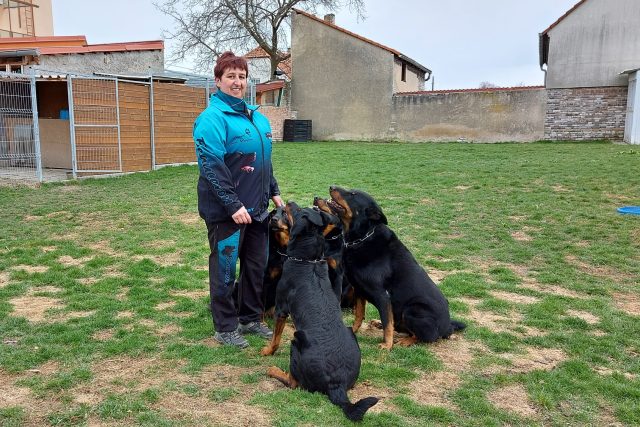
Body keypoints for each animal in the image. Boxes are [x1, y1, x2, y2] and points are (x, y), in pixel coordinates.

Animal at [262, 203, 378, 422]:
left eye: (297, 212)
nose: (289, 202)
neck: (307, 259)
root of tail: (337, 385)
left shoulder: (281, 308)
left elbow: (275, 337)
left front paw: (267, 351)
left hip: (297, 341)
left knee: (294, 383)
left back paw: (273, 370)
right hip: (350, 333)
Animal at [324, 187, 464, 352]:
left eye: (353, 194)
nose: (332, 186)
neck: (362, 238)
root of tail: (448, 327)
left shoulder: (382, 295)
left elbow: (387, 323)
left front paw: (387, 345)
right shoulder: (358, 289)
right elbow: (359, 314)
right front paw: (353, 331)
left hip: (412, 310)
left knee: (424, 336)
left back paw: (405, 341)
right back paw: (377, 323)